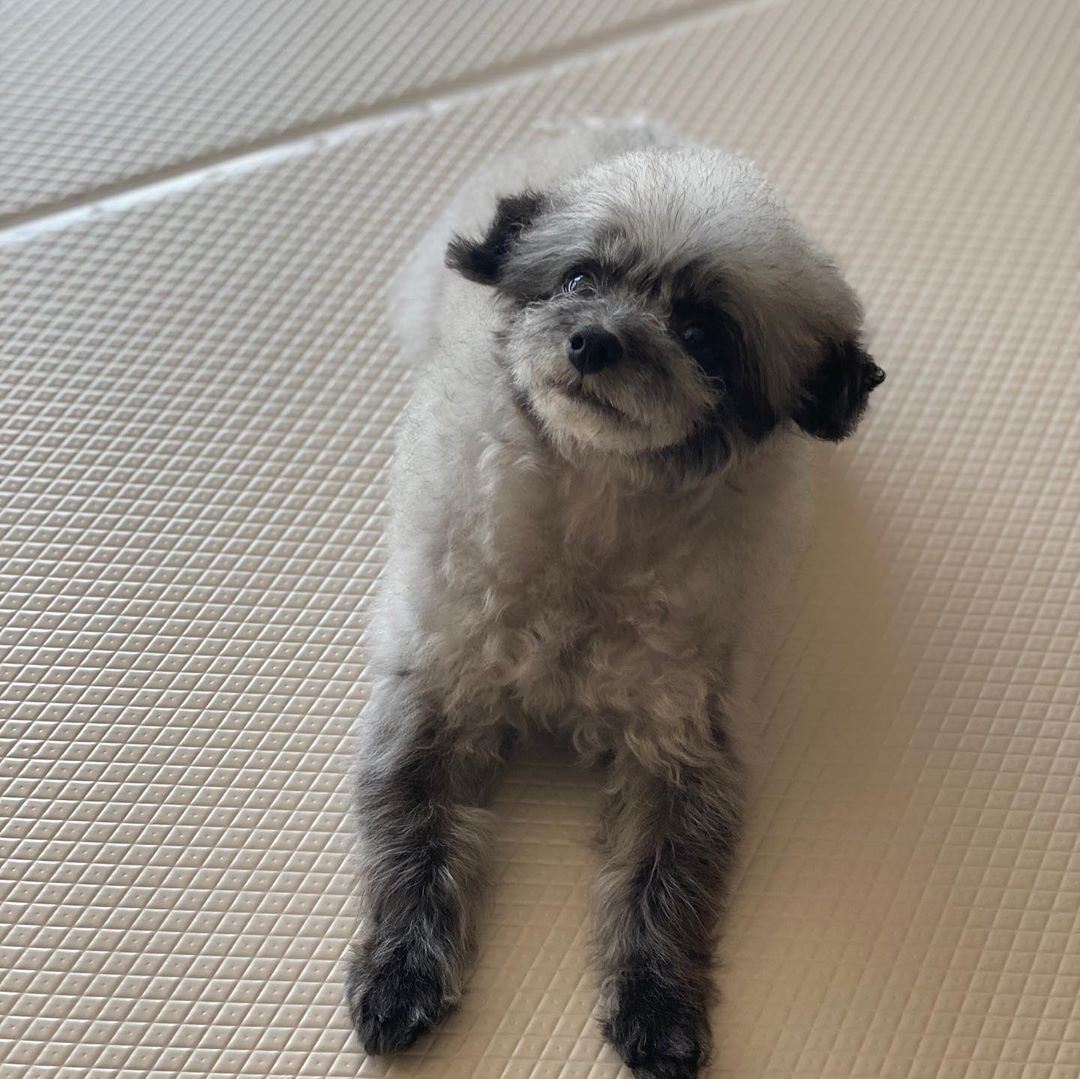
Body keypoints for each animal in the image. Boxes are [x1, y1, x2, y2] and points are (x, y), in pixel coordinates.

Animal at [345, 121, 884, 1078]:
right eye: (577, 279)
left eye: (702, 332)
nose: (593, 341)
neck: (596, 504)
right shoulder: (435, 686)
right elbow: (412, 831)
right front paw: (399, 971)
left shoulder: (686, 741)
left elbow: (665, 883)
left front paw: (657, 1006)